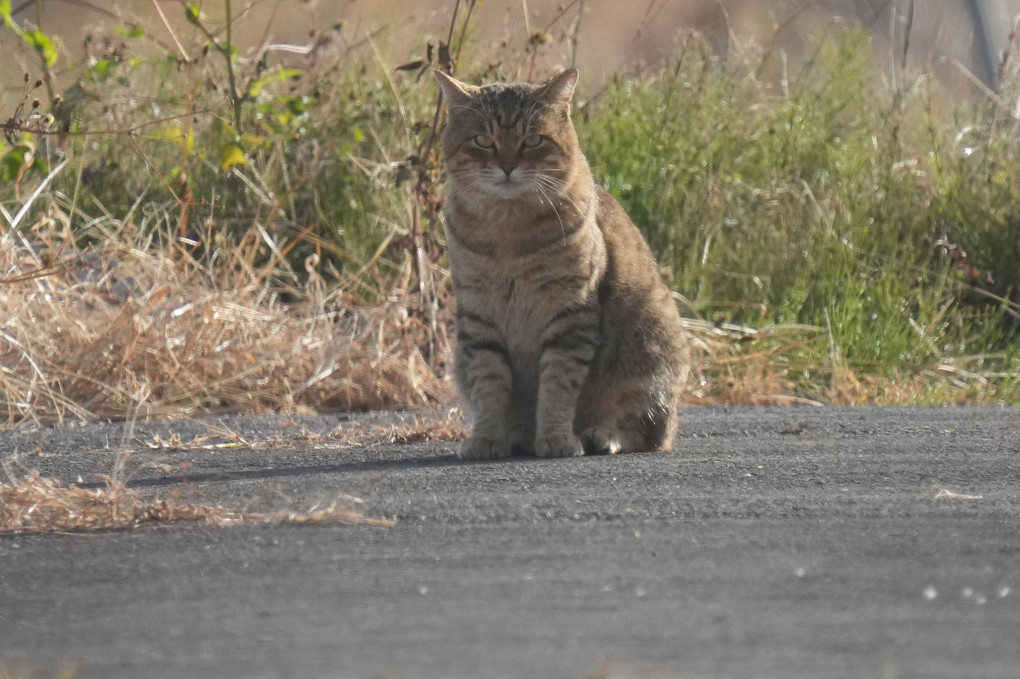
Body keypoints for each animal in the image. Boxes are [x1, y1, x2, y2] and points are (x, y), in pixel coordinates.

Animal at [434, 68, 689, 456]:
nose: (507, 166)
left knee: (647, 430)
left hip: (651, 343)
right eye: (483, 141)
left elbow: (557, 385)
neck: (507, 232)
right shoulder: (479, 316)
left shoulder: (570, 313)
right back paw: (519, 434)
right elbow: (489, 384)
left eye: (533, 140)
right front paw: (487, 437)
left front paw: (555, 436)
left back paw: (600, 434)